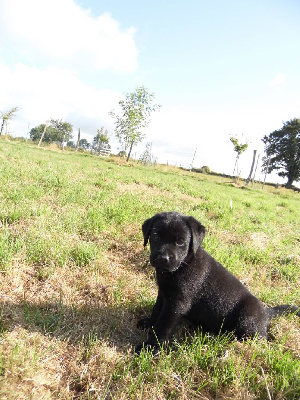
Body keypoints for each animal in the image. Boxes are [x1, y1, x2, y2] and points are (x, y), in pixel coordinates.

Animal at [137, 211, 300, 352]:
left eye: (181, 242)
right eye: (155, 236)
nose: (162, 259)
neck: (184, 264)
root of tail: (266, 312)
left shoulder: (177, 303)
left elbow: (163, 325)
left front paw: (150, 348)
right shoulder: (164, 293)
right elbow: (157, 310)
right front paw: (149, 323)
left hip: (247, 320)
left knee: (255, 339)